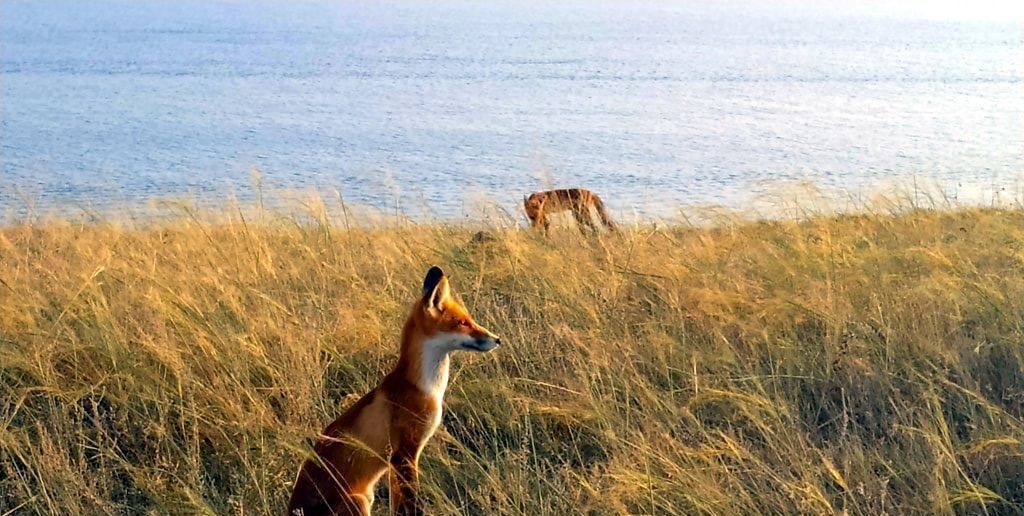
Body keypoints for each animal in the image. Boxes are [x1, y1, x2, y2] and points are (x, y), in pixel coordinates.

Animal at [286, 268, 501, 513]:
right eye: (463, 323)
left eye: (470, 320)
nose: (497, 339)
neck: (424, 388)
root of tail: (293, 509)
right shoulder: (404, 453)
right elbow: (413, 505)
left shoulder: (397, 462)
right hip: (359, 501)